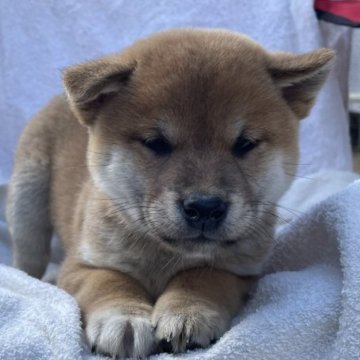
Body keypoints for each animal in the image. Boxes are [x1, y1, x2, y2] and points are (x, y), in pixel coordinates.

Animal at [5, 29, 334, 358]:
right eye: (156, 143)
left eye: (245, 144)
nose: (205, 207)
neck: (162, 256)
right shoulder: (82, 264)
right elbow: (110, 281)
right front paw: (122, 317)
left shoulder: (242, 272)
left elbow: (203, 277)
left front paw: (188, 311)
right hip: (27, 203)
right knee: (28, 259)